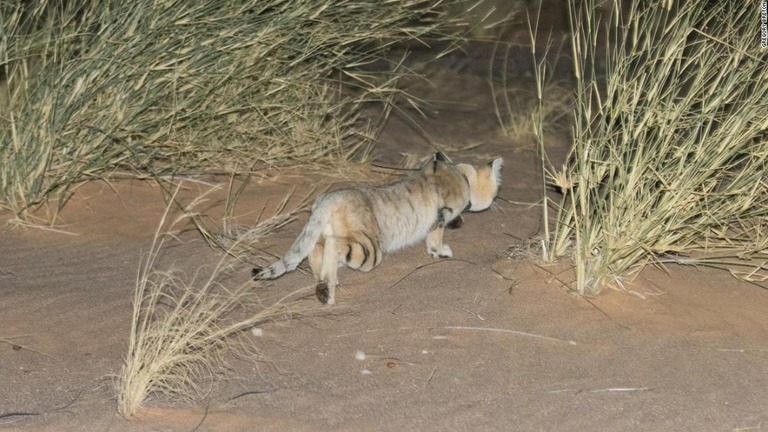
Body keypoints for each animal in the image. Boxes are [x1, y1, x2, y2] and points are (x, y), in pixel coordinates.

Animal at [254, 154, 504, 306]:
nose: (496, 200)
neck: (460, 175)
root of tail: (328, 198)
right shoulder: (441, 214)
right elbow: (435, 236)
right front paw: (440, 251)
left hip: (323, 233)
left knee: (315, 252)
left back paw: (326, 283)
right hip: (370, 249)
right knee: (335, 245)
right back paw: (328, 286)